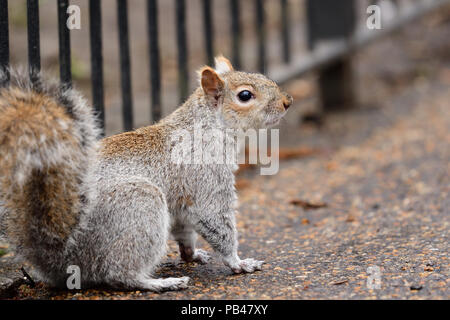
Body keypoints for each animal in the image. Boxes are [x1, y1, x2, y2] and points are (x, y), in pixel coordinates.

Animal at [0, 56, 294, 292]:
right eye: (245, 96)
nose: (287, 102)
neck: (206, 125)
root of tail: (58, 259)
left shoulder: (181, 199)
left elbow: (185, 229)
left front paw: (191, 254)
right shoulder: (206, 178)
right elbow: (215, 220)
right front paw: (238, 262)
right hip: (140, 205)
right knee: (118, 274)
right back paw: (160, 283)